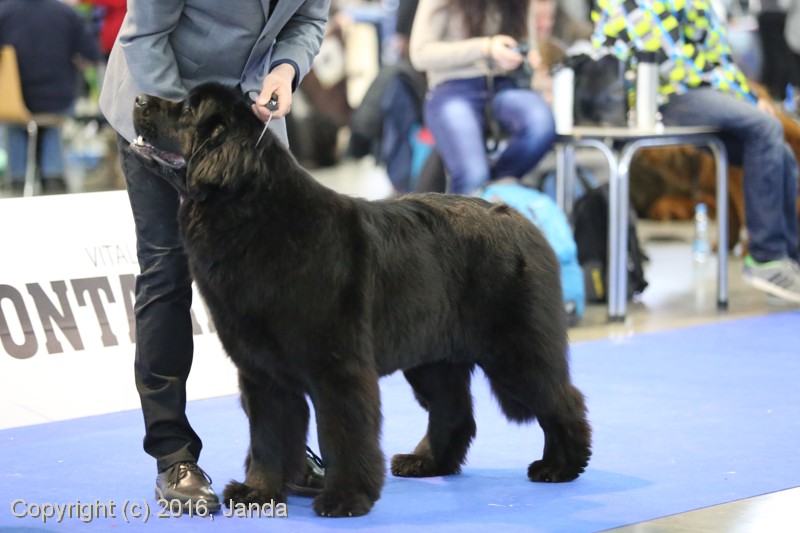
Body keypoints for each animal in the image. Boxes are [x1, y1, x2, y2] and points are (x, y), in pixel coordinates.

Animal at [129, 82, 591, 518]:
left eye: (188, 109)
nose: (138, 99)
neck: (252, 216)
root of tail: (520, 219)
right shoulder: (261, 371)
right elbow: (268, 436)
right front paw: (258, 492)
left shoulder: (338, 367)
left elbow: (343, 435)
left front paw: (345, 498)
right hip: (431, 357)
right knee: (453, 409)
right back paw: (428, 462)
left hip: (515, 351)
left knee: (561, 398)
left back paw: (560, 466)